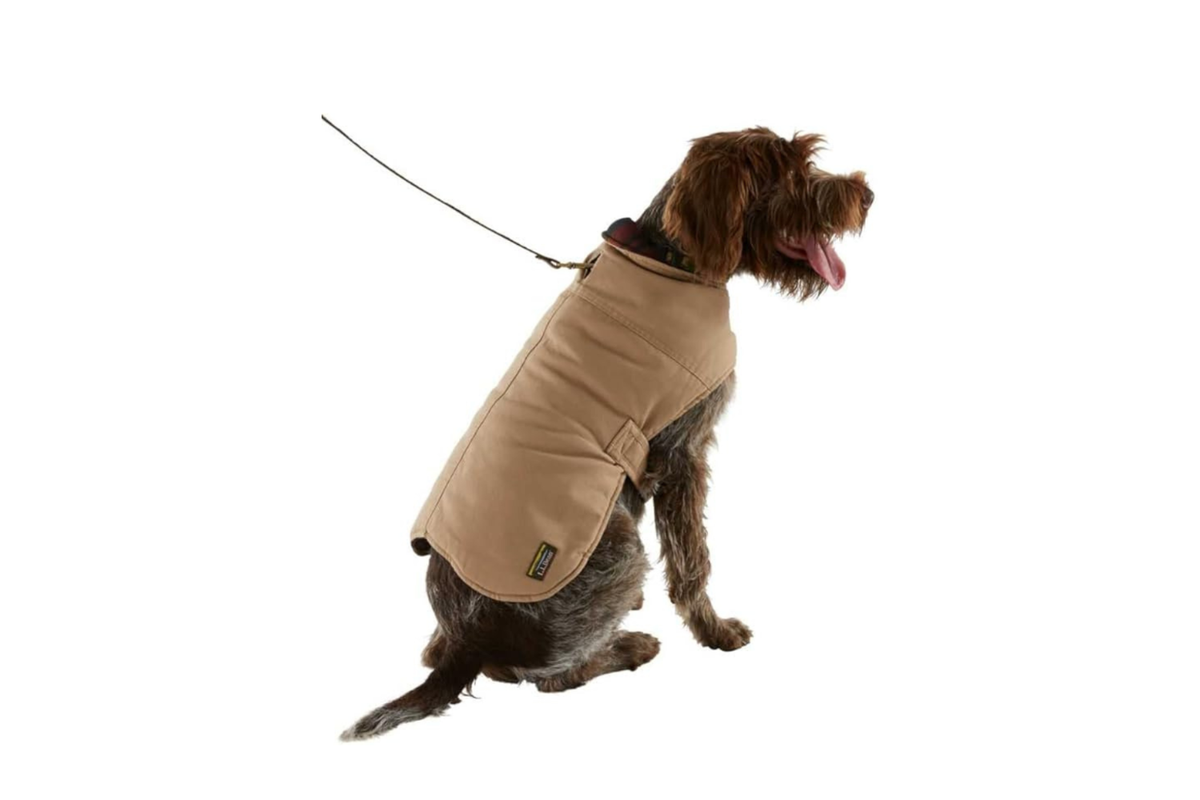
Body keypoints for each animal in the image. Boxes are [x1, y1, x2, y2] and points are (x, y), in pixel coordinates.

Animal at [341, 127, 872, 740]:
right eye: (793, 171)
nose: (867, 194)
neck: (671, 257)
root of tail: (467, 646)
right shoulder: (680, 452)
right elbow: (692, 562)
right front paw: (715, 632)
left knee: (448, 655)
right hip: (614, 544)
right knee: (549, 678)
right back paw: (628, 646)